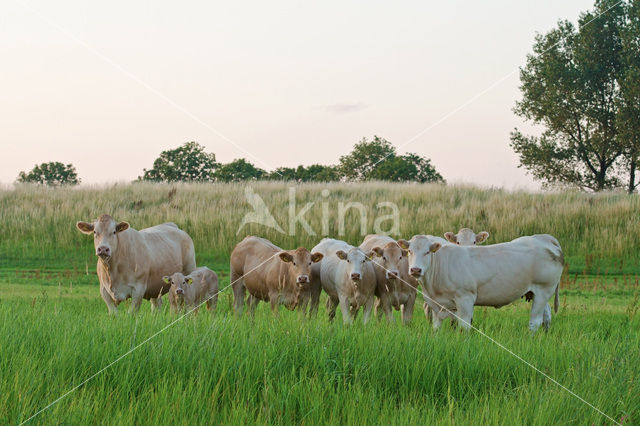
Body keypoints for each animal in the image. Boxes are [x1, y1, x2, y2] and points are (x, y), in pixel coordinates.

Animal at [400, 235, 564, 332]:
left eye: (427, 252)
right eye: (409, 251)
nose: (415, 270)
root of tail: (544, 238)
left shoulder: (465, 299)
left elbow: (464, 326)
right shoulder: (435, 304)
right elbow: (436, 326)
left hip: (543, 290)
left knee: (534, 322)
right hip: (538, 293)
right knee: (546, 316)